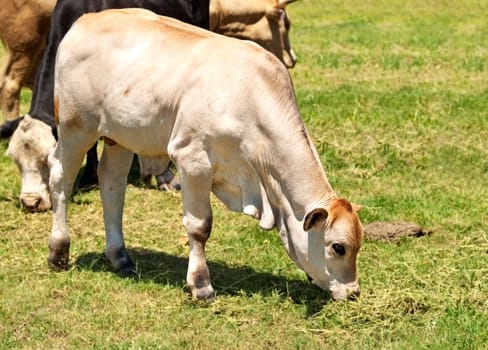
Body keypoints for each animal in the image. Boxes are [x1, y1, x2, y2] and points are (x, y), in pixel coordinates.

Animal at [49, 8, 362, 300]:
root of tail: (85, 20)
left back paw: (119, 256)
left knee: (112, 185)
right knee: (60, 178)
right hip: (76, 127)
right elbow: (200, 226)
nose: (354, 292)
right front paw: (201, 285)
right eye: (338, 247)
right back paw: (58, 251)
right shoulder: (193, 161)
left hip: (119, 137)